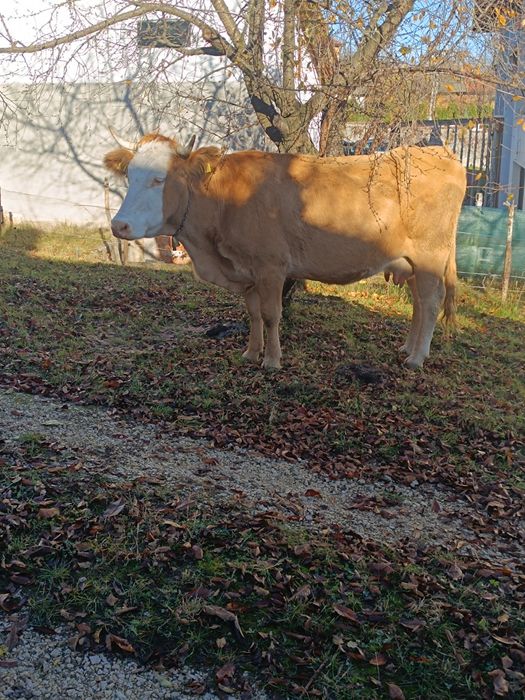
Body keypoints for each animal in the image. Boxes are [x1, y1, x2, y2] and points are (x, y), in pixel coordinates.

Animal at [104, 132, 466, 370]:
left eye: (158, 179)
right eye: (130, 175)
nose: (119, 225)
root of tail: (440, 154)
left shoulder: (271, 267)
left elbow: (270, 314)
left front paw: (272, 361)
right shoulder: (245, 270)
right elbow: (252, 313)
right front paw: (251, 353)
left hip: (430, 255)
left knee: (430, 303)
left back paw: (417, 358)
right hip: (412, 263)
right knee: (418, 303)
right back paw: (408, 347)